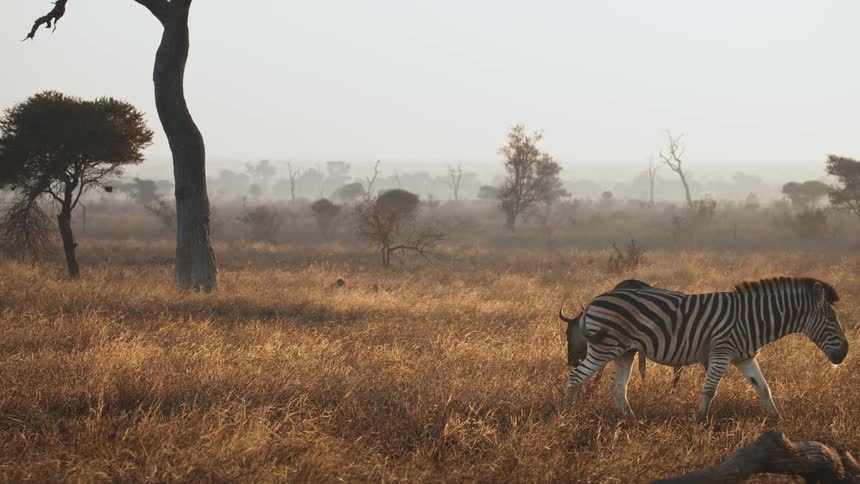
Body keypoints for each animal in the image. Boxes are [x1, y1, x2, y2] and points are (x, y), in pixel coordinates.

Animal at [563, 277, 849, 421]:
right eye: (831, 320)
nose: (845, 353)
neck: (752, 318)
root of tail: (595, 300)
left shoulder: (745, 357)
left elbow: (763, 388)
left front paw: (777, 421)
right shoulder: (721, 351)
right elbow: (710, 389)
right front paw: (700, 420)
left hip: (624, 351)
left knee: (618, 386)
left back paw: (631, 420)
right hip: (604, 347)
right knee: (575, 377)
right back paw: (568, 414)